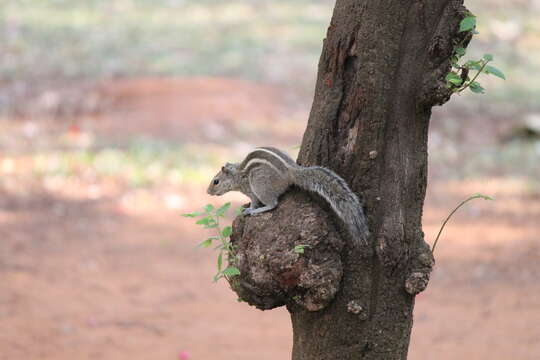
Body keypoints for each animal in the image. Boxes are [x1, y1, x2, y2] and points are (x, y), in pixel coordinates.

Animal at [207, 147, 372, 248]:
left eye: (216, 181)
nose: (208, 192)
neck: (237, 175)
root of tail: (291, 171)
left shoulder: (252, 191)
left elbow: (254, 202)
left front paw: (249, 209)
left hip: (260, 184)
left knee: (272, 203)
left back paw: (258, 211)